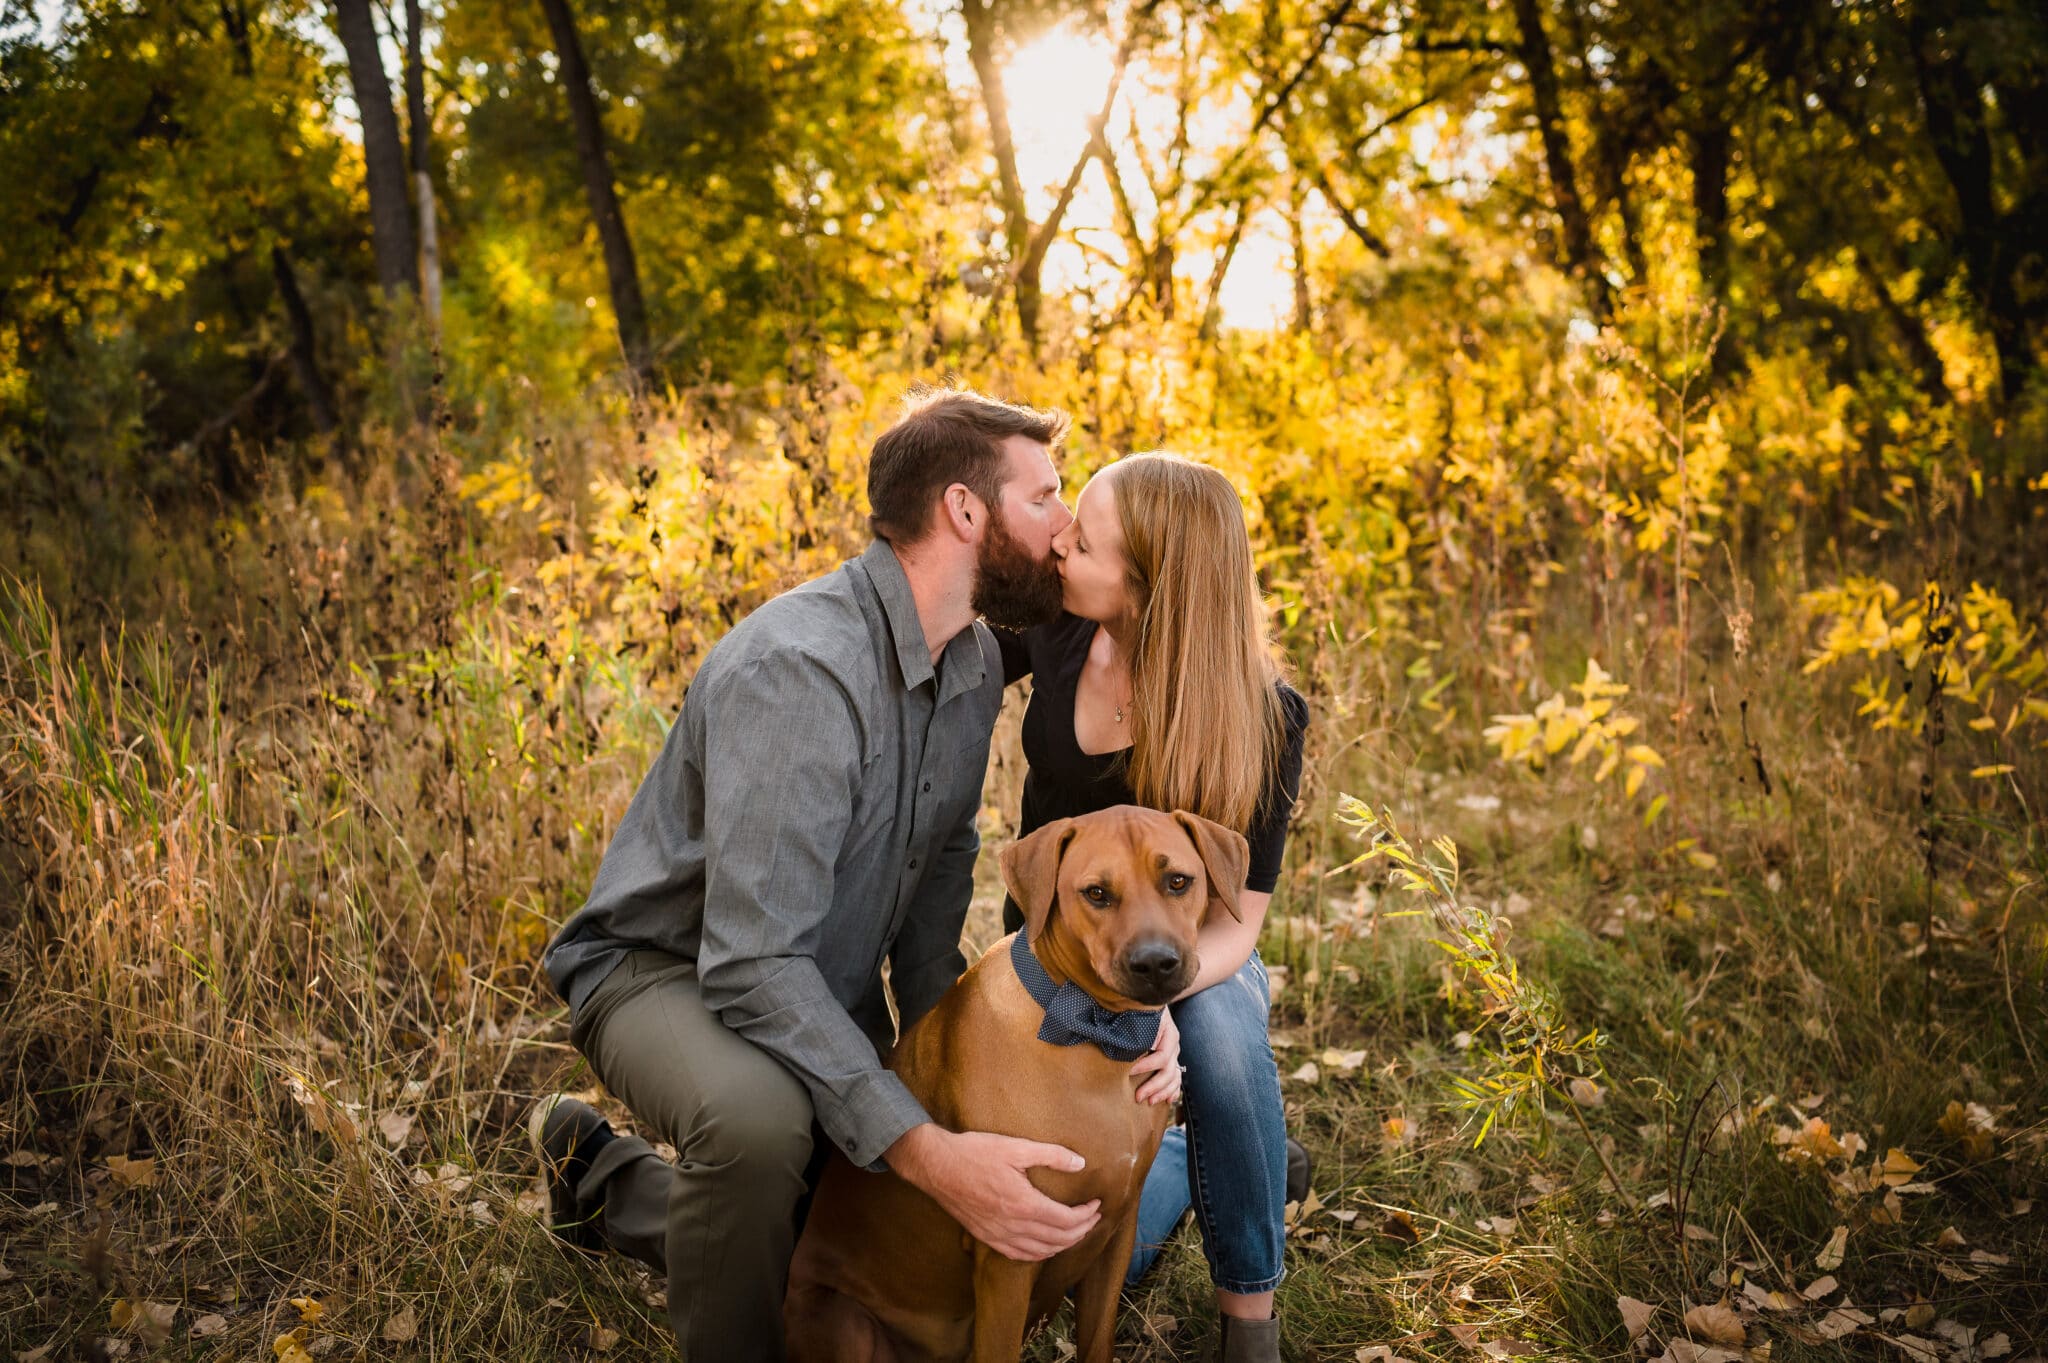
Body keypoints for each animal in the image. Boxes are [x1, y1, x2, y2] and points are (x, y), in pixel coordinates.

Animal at [786, 806, 1245, 1358]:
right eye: (1096, 893)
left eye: (1178, 881)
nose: (1155, 963)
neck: (1092, 1029)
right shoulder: (1010, 1254)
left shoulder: (1118, 1230)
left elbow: (1098, 1339)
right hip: (844, 1321)